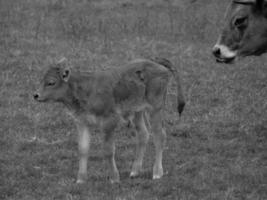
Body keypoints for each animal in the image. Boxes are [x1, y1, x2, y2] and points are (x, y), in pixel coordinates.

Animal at [33, 57, 185, 183]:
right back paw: (134, 171)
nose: (36, 95)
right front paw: (80, 179)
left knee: (159, 135)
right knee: (143, 134)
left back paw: (157, 173)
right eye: (41, 80)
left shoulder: (109, 122)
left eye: (51, 82)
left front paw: (114, 178)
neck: (85, 88)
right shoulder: (82, 122)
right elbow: (83, 149)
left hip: (155, 108)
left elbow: (108, 150)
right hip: (138, 111)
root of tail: (157, 63)